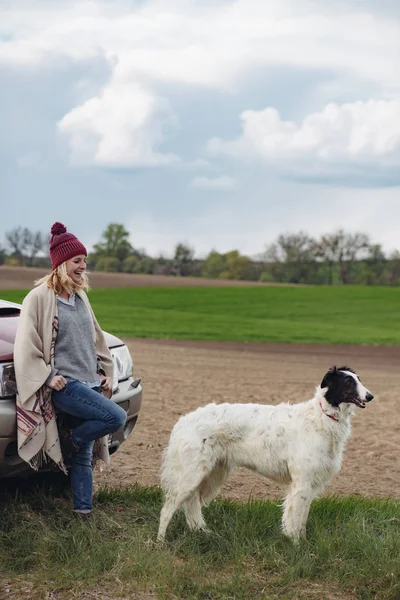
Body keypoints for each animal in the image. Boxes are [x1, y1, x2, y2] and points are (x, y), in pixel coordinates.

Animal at [158, 366, 374, 544]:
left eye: (358, 379)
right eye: (348, 382)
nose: (370, 396)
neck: (322, 417)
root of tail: (182, 421)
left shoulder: (310, 485)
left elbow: (302, 521)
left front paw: (303, 542)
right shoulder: (301, 483)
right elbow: (294, 520)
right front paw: (297, 546)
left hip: (212, 473)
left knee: (191, 504)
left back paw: (201, 532)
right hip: (191, 475)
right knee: (167, 509)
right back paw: (160, 543)